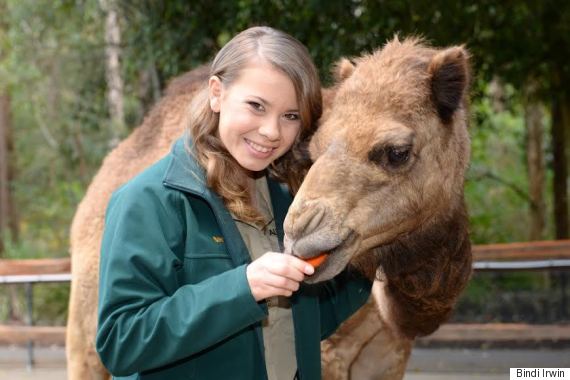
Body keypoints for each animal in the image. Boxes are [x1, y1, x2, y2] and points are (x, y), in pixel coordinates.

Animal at [65, 36, 470, 380]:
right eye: (313, 149)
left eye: (397, 152)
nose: (300, 233)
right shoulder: (329, 354)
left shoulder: (388, 353)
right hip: (84, 323)